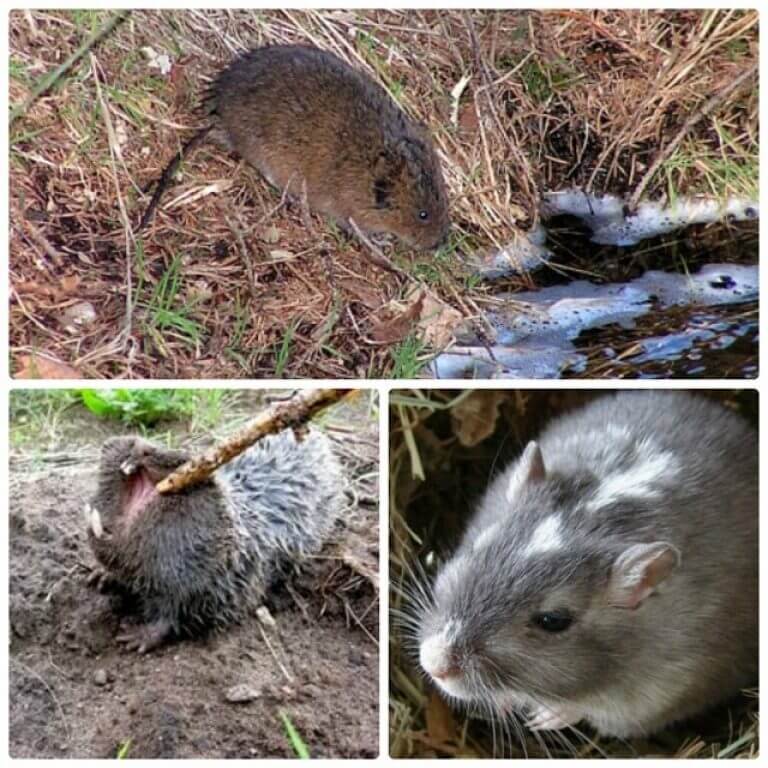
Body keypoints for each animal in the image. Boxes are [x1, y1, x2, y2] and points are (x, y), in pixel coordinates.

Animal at [414, 392, 756, 740]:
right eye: (478, 548)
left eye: (553, 621)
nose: (432, 663)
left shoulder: (658, 691)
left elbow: (586, 709)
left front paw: (543, 717)